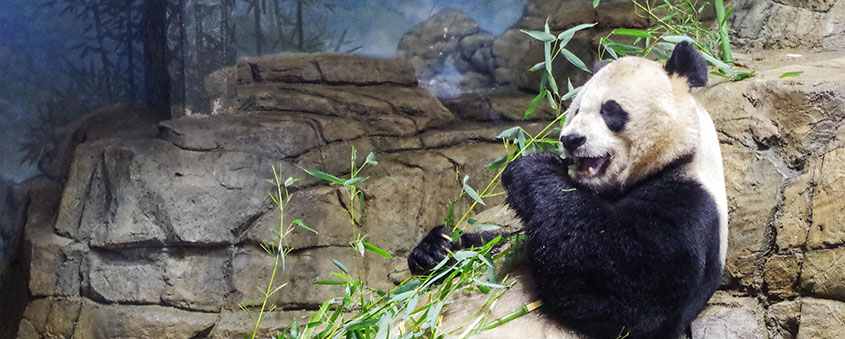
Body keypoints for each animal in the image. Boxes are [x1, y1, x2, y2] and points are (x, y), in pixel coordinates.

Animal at [408, 40, 724, 339]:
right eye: (576, 110)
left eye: (610, 110)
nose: (571, 139)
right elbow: (490, 246)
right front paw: (436, 249)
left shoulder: (689, 205)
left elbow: (628, 290)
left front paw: (532, 168)